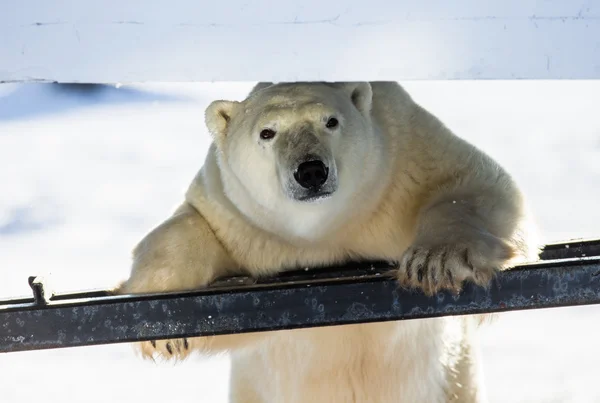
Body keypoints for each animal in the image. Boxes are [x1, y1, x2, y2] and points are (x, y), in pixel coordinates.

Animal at [116, 82, 540, 403]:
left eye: (330, 121)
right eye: (267, 132)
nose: (311, 171)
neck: (326, 230)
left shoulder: (404, 155)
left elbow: (472, 183)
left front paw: (436, 262)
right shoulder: (235, 212)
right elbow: (192, 235)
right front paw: (164, 331)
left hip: (454, 381)